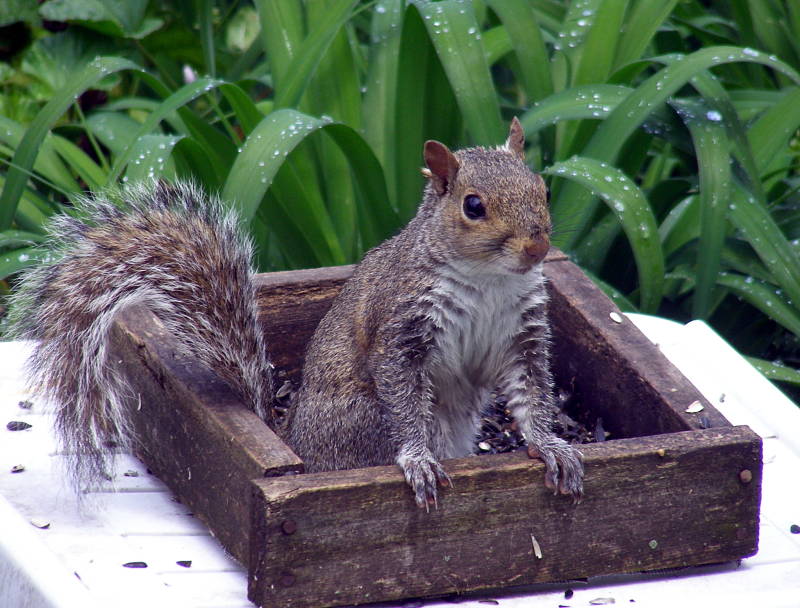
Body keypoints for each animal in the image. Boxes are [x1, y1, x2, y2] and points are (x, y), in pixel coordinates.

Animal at [6, 119, 580, 508]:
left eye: (543, 189)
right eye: (473, 206)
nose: (536, 247)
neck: (488, 282)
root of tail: (295, 443)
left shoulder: (524, 335)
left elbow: (531, 392)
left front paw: (550, 446)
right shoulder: (400, 326)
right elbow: (401, 392)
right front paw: (417, 459)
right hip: (362, 420)